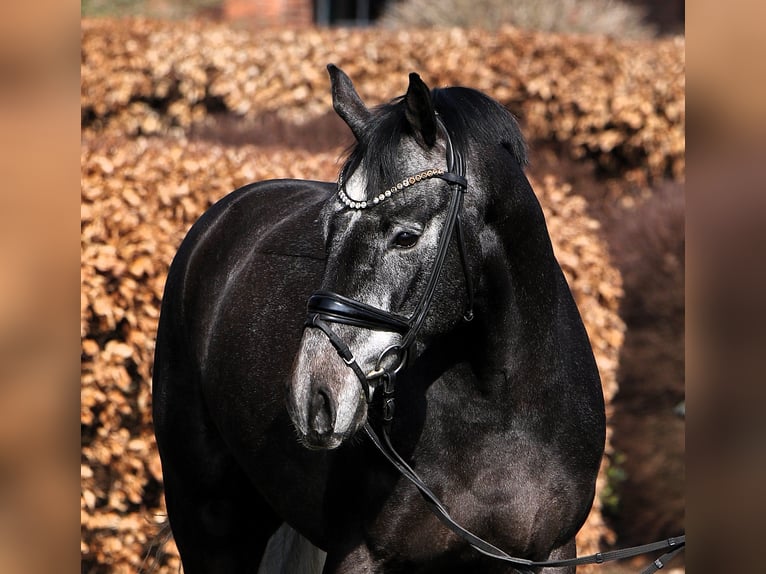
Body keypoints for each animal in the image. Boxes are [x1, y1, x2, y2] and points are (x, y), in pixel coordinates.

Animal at [154, 65, 608, 572]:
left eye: (406, 237)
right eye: (327, 232)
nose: (315, 395)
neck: (498, 413)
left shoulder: (549, 552)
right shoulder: (360, 553)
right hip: (208, 518)